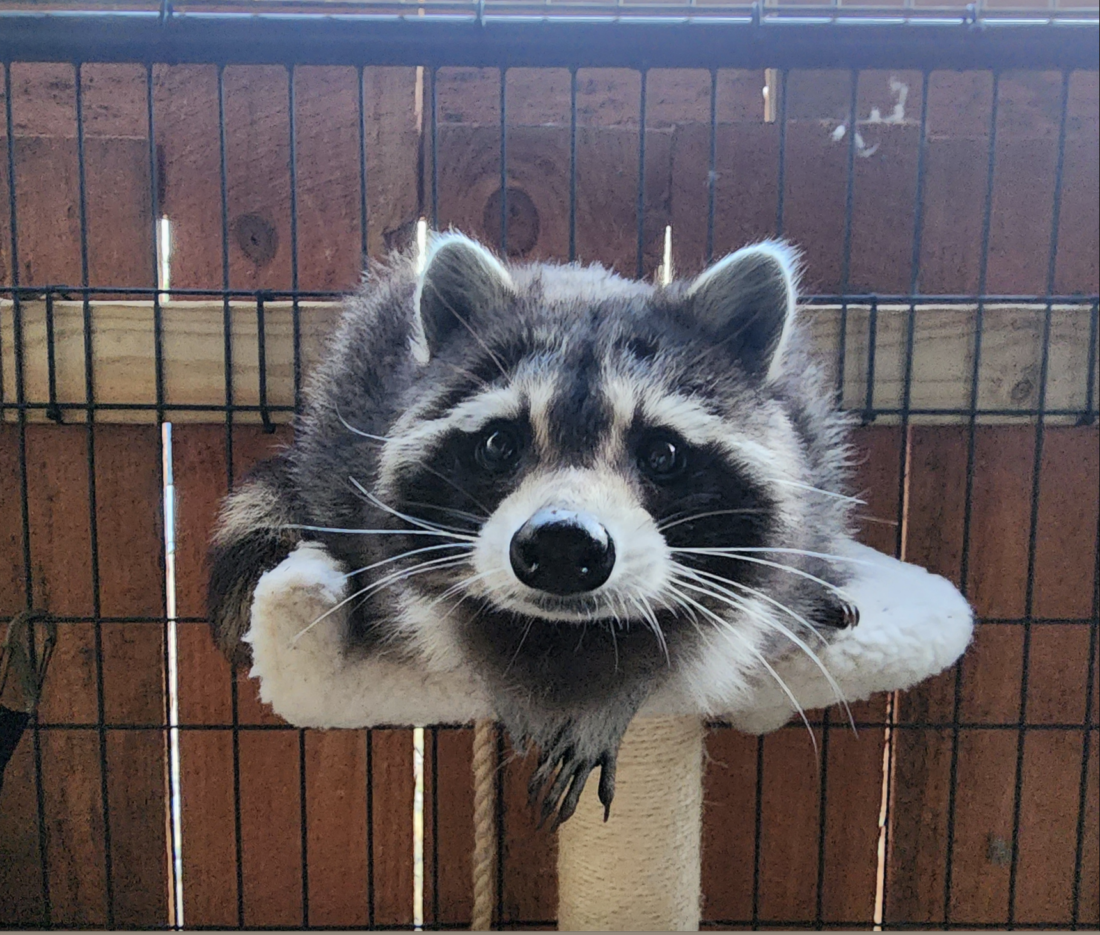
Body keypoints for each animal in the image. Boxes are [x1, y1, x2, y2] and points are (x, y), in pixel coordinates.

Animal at [207, 231, 858, 822]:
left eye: (663, 454)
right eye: (499, 444)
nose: (564, 545)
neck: (566, 633)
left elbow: (702, 635)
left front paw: (618, 693)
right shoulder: (365, 498)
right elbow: (438, 612)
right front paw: (503, 678)